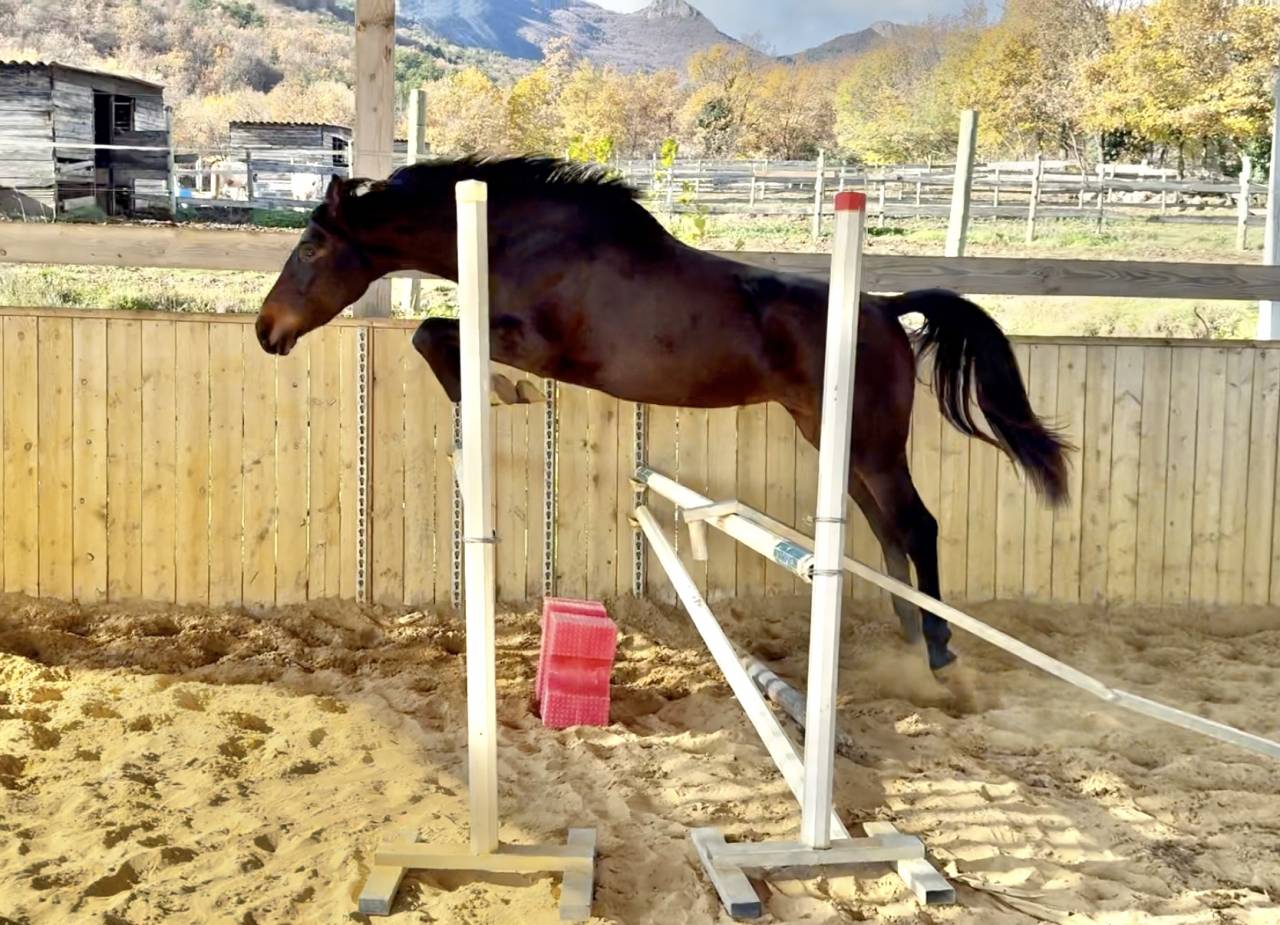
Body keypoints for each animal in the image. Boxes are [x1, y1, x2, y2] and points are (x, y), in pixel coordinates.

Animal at [255, 156, 1070, 671]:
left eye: (311, 249)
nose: (266, 331)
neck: (522, 239)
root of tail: (882, 308)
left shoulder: (539, 345)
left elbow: (434, 333)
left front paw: (494, 393)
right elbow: (434, 333)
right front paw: (490, 392)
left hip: (871, 442)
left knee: (917, 525)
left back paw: (936, 649)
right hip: (833, 438)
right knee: (884, 529)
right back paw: (906, 635)